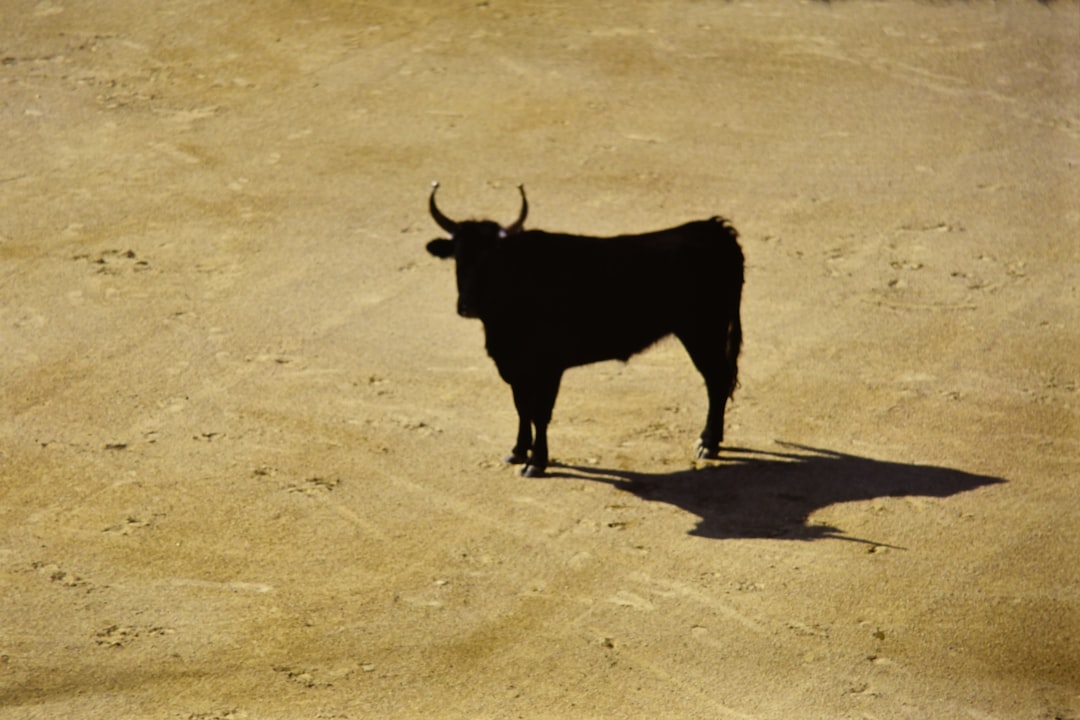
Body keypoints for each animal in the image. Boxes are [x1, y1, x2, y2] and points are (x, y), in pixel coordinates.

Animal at [425, 182, 744, 478]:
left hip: (703, 332)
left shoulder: (547, 367)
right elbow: (522, 407)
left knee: (717, 379)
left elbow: (540, 413)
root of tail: (712, 228)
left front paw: (536, 462)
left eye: (492, 259)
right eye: (458, 258)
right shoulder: (514, 366)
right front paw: (517, 451)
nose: (467, 306)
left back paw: (708, 443)